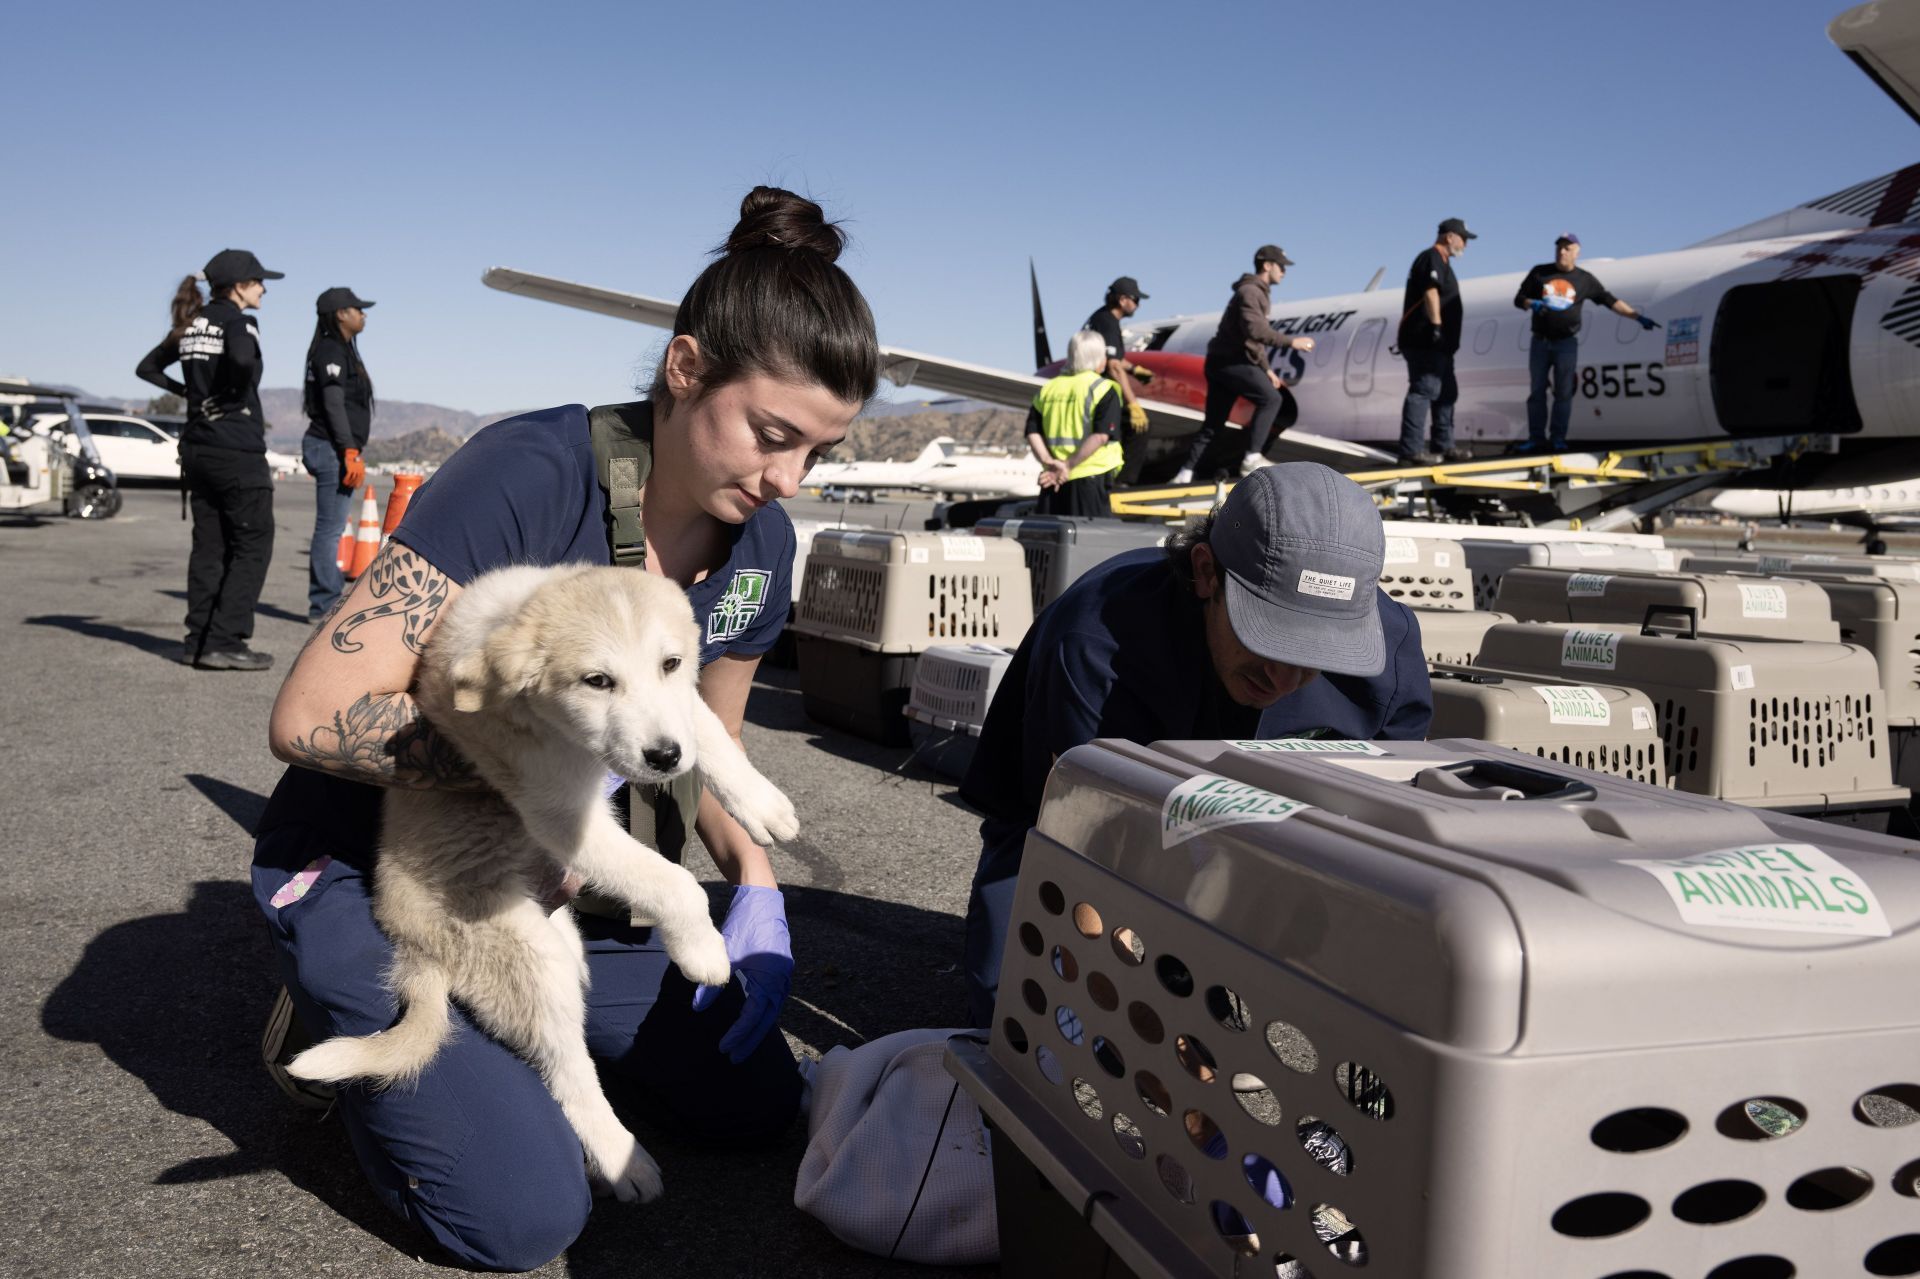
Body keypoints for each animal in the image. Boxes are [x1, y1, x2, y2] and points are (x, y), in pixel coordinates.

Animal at [282, 564, 794, 1198]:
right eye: (597, 681)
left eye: (671, 663)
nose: (664, 758)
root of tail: (414, 947)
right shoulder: (561, 814)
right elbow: (673, 881)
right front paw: (703, 949)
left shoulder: (677, 713)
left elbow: (712, 732)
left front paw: (763, 806)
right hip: (531, 959)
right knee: (567, 1074)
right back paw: (624, 1162)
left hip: (561, 945)